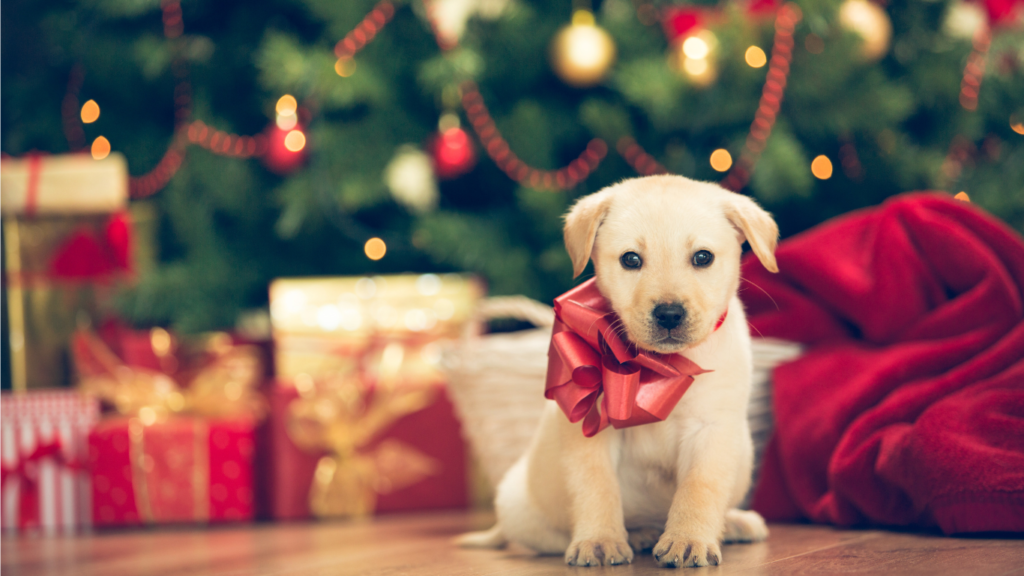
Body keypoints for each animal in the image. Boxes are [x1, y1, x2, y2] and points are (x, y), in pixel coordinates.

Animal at [460, 174, 778, 565]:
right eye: (631, 259)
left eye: (703, 257)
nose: (669, 314)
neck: (658, 365)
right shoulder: (590, 429)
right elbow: (597, 487)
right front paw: (600, 540)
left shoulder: (711, 430)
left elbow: (699, 489)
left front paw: (689, 538)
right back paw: (639, 534)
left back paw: (733, 523)